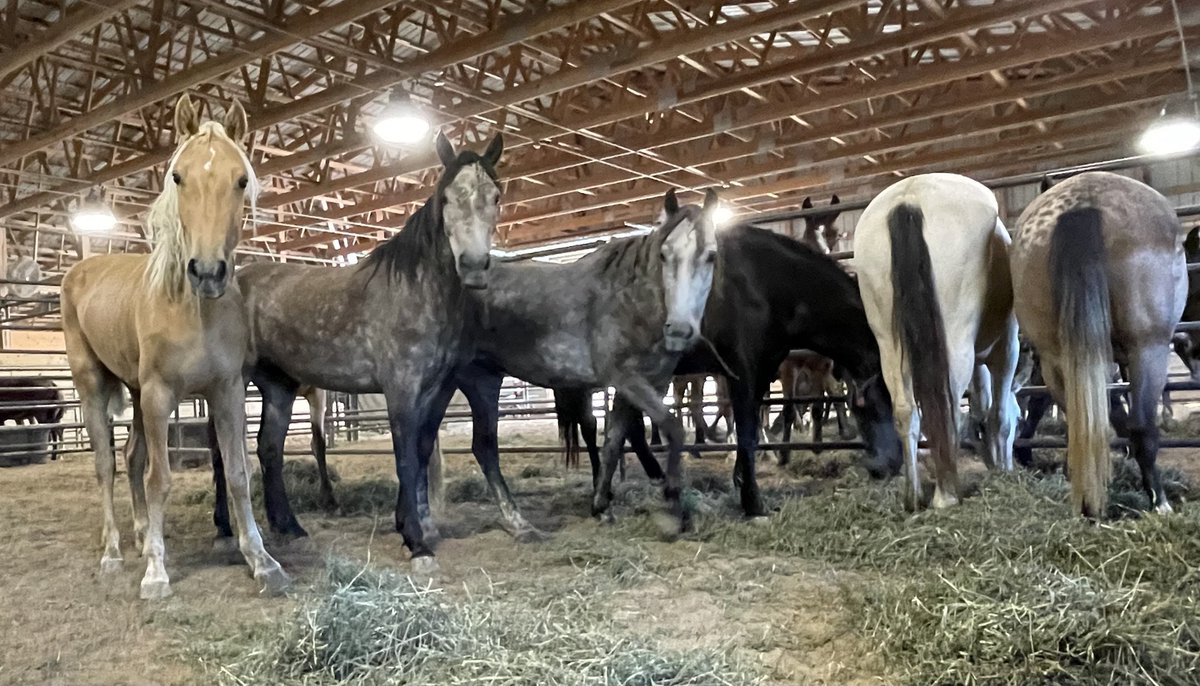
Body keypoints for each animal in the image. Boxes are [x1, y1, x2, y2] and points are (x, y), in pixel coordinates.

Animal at [60, 95, 286, 599]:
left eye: (241, 180)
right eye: (178, 177)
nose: (207, 272)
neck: (193, 311)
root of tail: (80, 270)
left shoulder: (227, 393)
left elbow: (238, 474)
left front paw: (262, 561)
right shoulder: (161, 394)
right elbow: (160, 478)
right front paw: (156, 575)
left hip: (136, 394)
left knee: (130, 457)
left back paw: (144, 535)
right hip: (95, 387)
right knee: (106, 464)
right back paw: (114, 552)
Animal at [208, 131, 503, 571]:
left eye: (495, 195)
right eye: (448, 197)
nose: (473, 266)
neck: (416, 288)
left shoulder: (436, 391)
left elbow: (421, 451)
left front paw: (413, 526)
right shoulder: (400, 390)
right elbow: (404, 457)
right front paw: (417, 543)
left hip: (279, 385)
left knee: (269, 449)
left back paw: (289, 526)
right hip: (232, 383)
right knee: (220, 451)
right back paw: (225, 529)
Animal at [854, 173, 1019, 510]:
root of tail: (909, 198)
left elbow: (982, 411)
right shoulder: (1007, 346)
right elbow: (999, 415)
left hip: (890, 344)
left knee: (906, 410)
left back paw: (913, 496)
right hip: (955, 342)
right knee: (948, 405)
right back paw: (946, 495)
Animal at [1010, 171, 1186, 516]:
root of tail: (1082, 204)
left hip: (1057, 358)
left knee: (1081, 424)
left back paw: (1088, 503)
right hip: (1149, 347)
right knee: (1143, 427)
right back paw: (1159, 502)